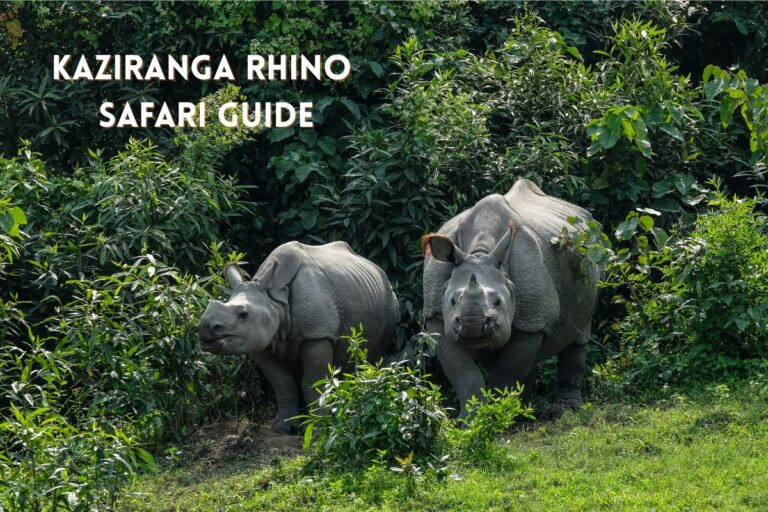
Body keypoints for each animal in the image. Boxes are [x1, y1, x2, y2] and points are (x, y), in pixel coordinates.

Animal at [198, 241, 398, 433]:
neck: (275, 301)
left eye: (243, 314)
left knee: (375, 355)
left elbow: (312, 382)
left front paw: (318, 429)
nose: (204, 328)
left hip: (390, 300)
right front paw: (283, 428)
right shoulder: (260, 342)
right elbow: (282, 383)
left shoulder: (318, 334)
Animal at [422, 178, 600, 418]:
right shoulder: (437, 317)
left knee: (579, 334)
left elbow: (505, 373)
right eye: (452, 301)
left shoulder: (531, 319)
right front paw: (469, 420)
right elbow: (464, 375)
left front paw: (499, 416)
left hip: (592, 255)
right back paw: (524, 411)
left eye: (498, 302)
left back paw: (564, 412)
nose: (472, 325)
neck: (480, 252)